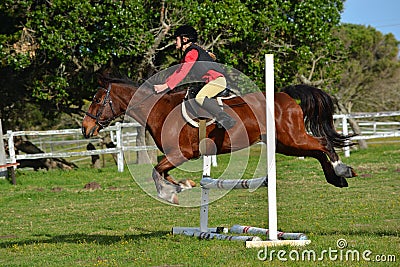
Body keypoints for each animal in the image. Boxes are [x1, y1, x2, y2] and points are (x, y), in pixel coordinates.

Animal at [82, 78, 356, 205]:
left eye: (97, 100)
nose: (85, 128)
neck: (160, 109)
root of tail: (286, 95)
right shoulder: (176, 157)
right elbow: (163, 172)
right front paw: (179, 188)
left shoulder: (182, 153)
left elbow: (155, 172)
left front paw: (169, 194)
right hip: (285, 144)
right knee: (318, 150)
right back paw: (337, 179)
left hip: (292, 138)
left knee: (322, 144)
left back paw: (343, 170)